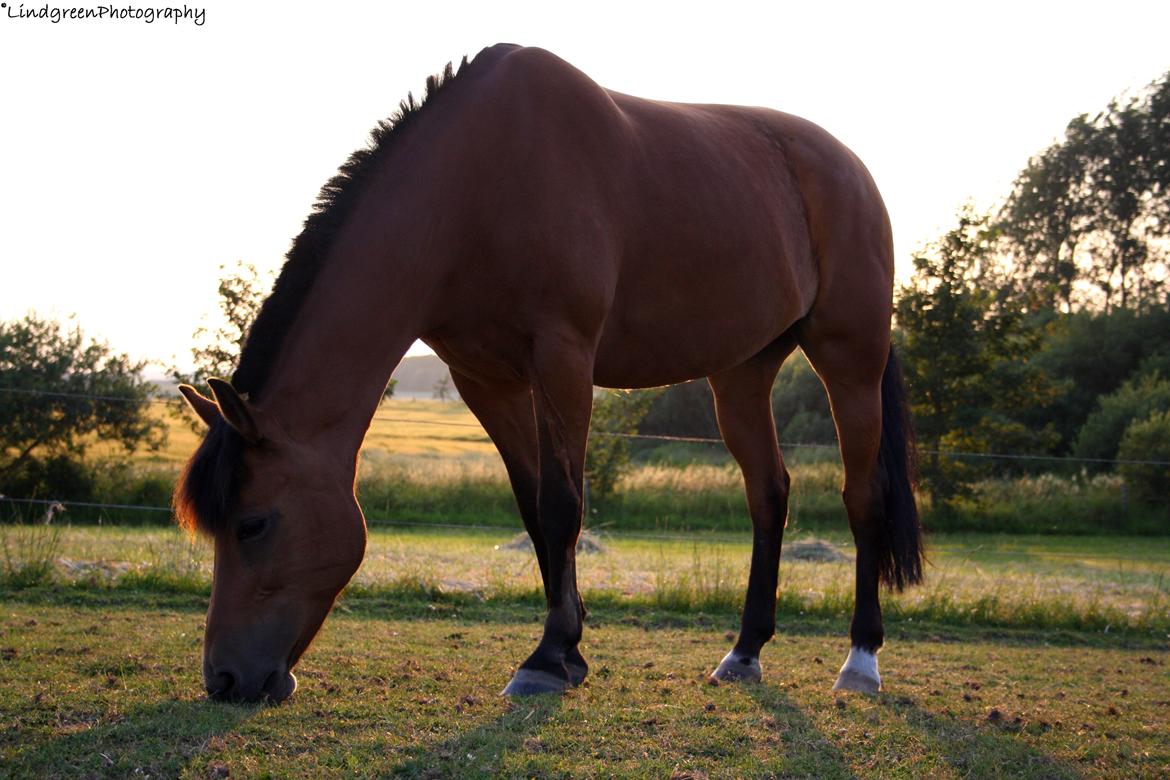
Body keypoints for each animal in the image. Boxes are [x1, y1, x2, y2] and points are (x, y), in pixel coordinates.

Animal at [173, 39, 921, 706]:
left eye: (252, 524)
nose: (226, 680)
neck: (476, 184)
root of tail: (851, 170)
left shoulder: (562, 356)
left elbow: (564, 503)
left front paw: (547, 659)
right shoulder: (486, 379)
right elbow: (534, 508)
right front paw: (571, 647)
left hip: (849, 360)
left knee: (863, 497)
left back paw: (861, 660)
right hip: (741, 373)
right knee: (768, 493)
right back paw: (744, 652)